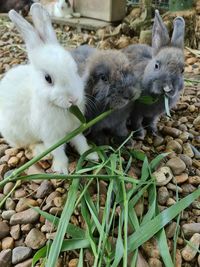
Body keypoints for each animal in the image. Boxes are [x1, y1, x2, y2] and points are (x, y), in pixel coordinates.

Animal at [0, 3, 97, 174]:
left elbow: (81, 142)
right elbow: (58, 151)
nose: (73, 99)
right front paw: (61, 169)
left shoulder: (75, 129)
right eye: (48, 79)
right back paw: (42, 151)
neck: (60, 108)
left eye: (75, 69)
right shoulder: (51, 136)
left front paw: (92, 155)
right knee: (28, 145)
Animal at [123, 10, 186, 139]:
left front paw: (155, 133)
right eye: (156, 65)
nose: (167, 87)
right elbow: (137, 122)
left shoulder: (154, 115)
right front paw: (140, 135)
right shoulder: (136, 112)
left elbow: (151, 122)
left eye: (182, 70)